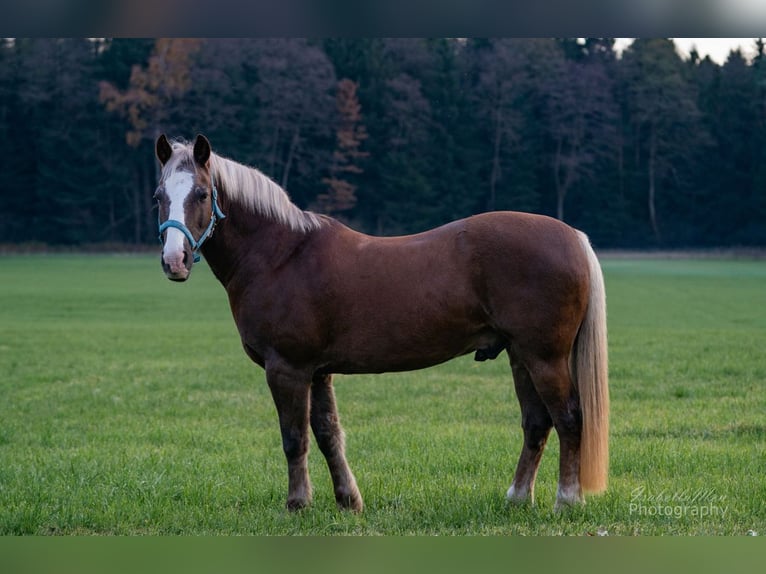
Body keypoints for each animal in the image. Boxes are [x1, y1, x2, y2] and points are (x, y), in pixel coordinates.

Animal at [154, 133, 609, 512]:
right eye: (159, 195)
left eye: (201, 193)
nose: (174, 261)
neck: (282, 254)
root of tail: (573, 236)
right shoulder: (318, 372)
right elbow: (328, 434)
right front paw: (347, 501)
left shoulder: (287, 368)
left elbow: (294, 438)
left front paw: (297, 504)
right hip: (520, 355)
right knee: (536, 423)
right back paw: (517, 498)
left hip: (544, 357)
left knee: (569, 419)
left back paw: (567, 501)